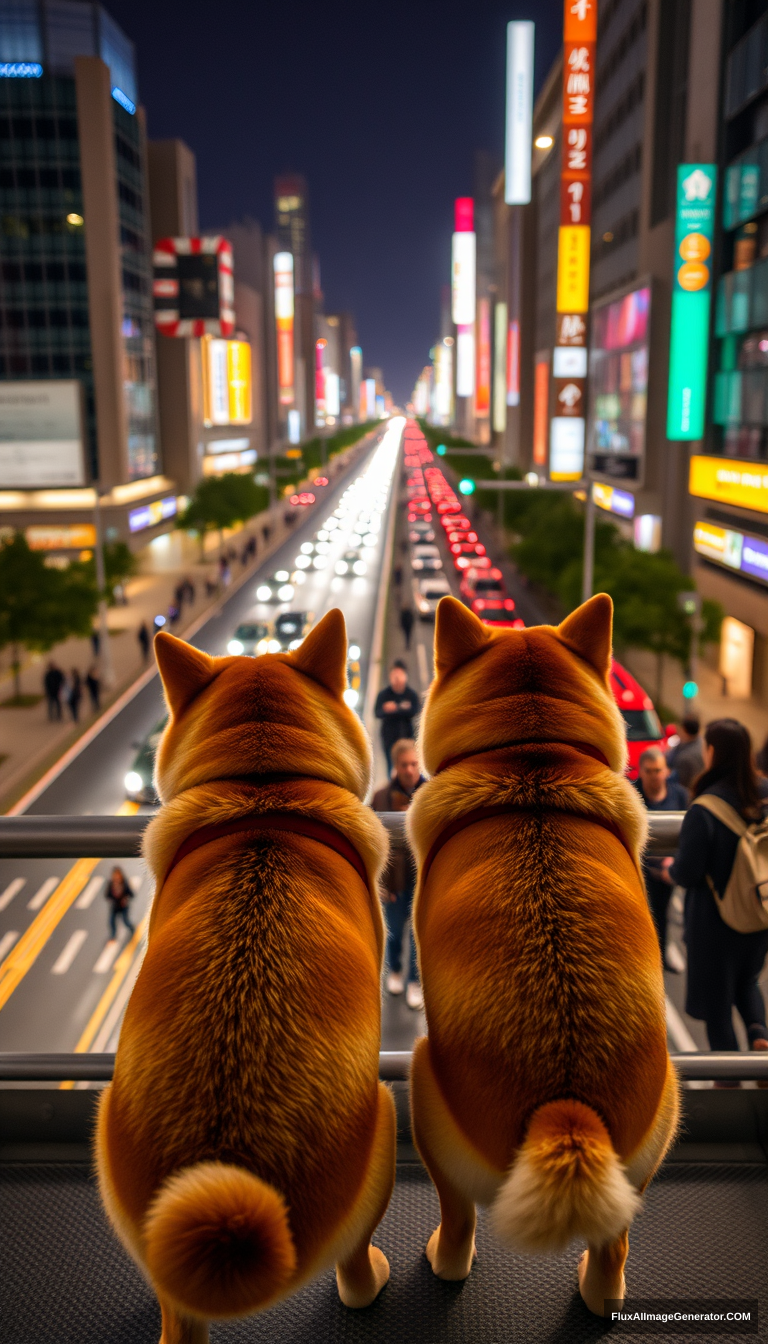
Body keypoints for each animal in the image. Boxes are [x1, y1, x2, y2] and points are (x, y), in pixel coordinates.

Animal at [408, 596, 677, 1311]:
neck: (529, 757)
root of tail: (567, 1107)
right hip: (652, 1141)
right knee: (615, 1246)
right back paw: (601, 1295)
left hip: (423, 1087)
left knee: (459, 1217)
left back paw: (444, 1260)